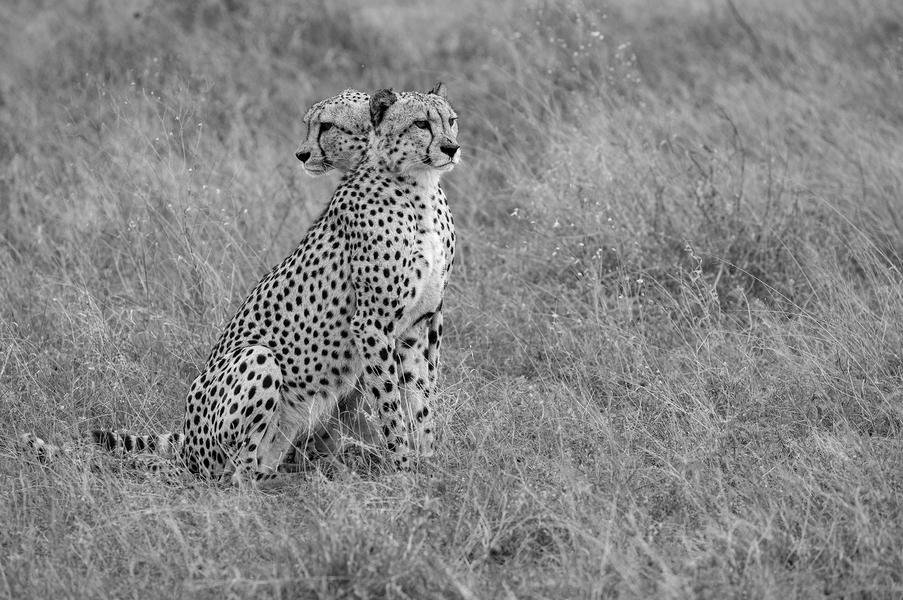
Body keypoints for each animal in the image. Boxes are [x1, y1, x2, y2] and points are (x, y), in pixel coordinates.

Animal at [20, 84, 460, 485]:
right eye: (421, 123)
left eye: (449, 120)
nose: (452, 148)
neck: (418, 189)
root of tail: (186, 449)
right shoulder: (371, 325)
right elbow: (391, 403)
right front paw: (401, 468)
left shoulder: (420, 323)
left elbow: (422, 398)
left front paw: (427, 462)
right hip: (257, 359)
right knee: (236, 475)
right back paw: (293, 477)